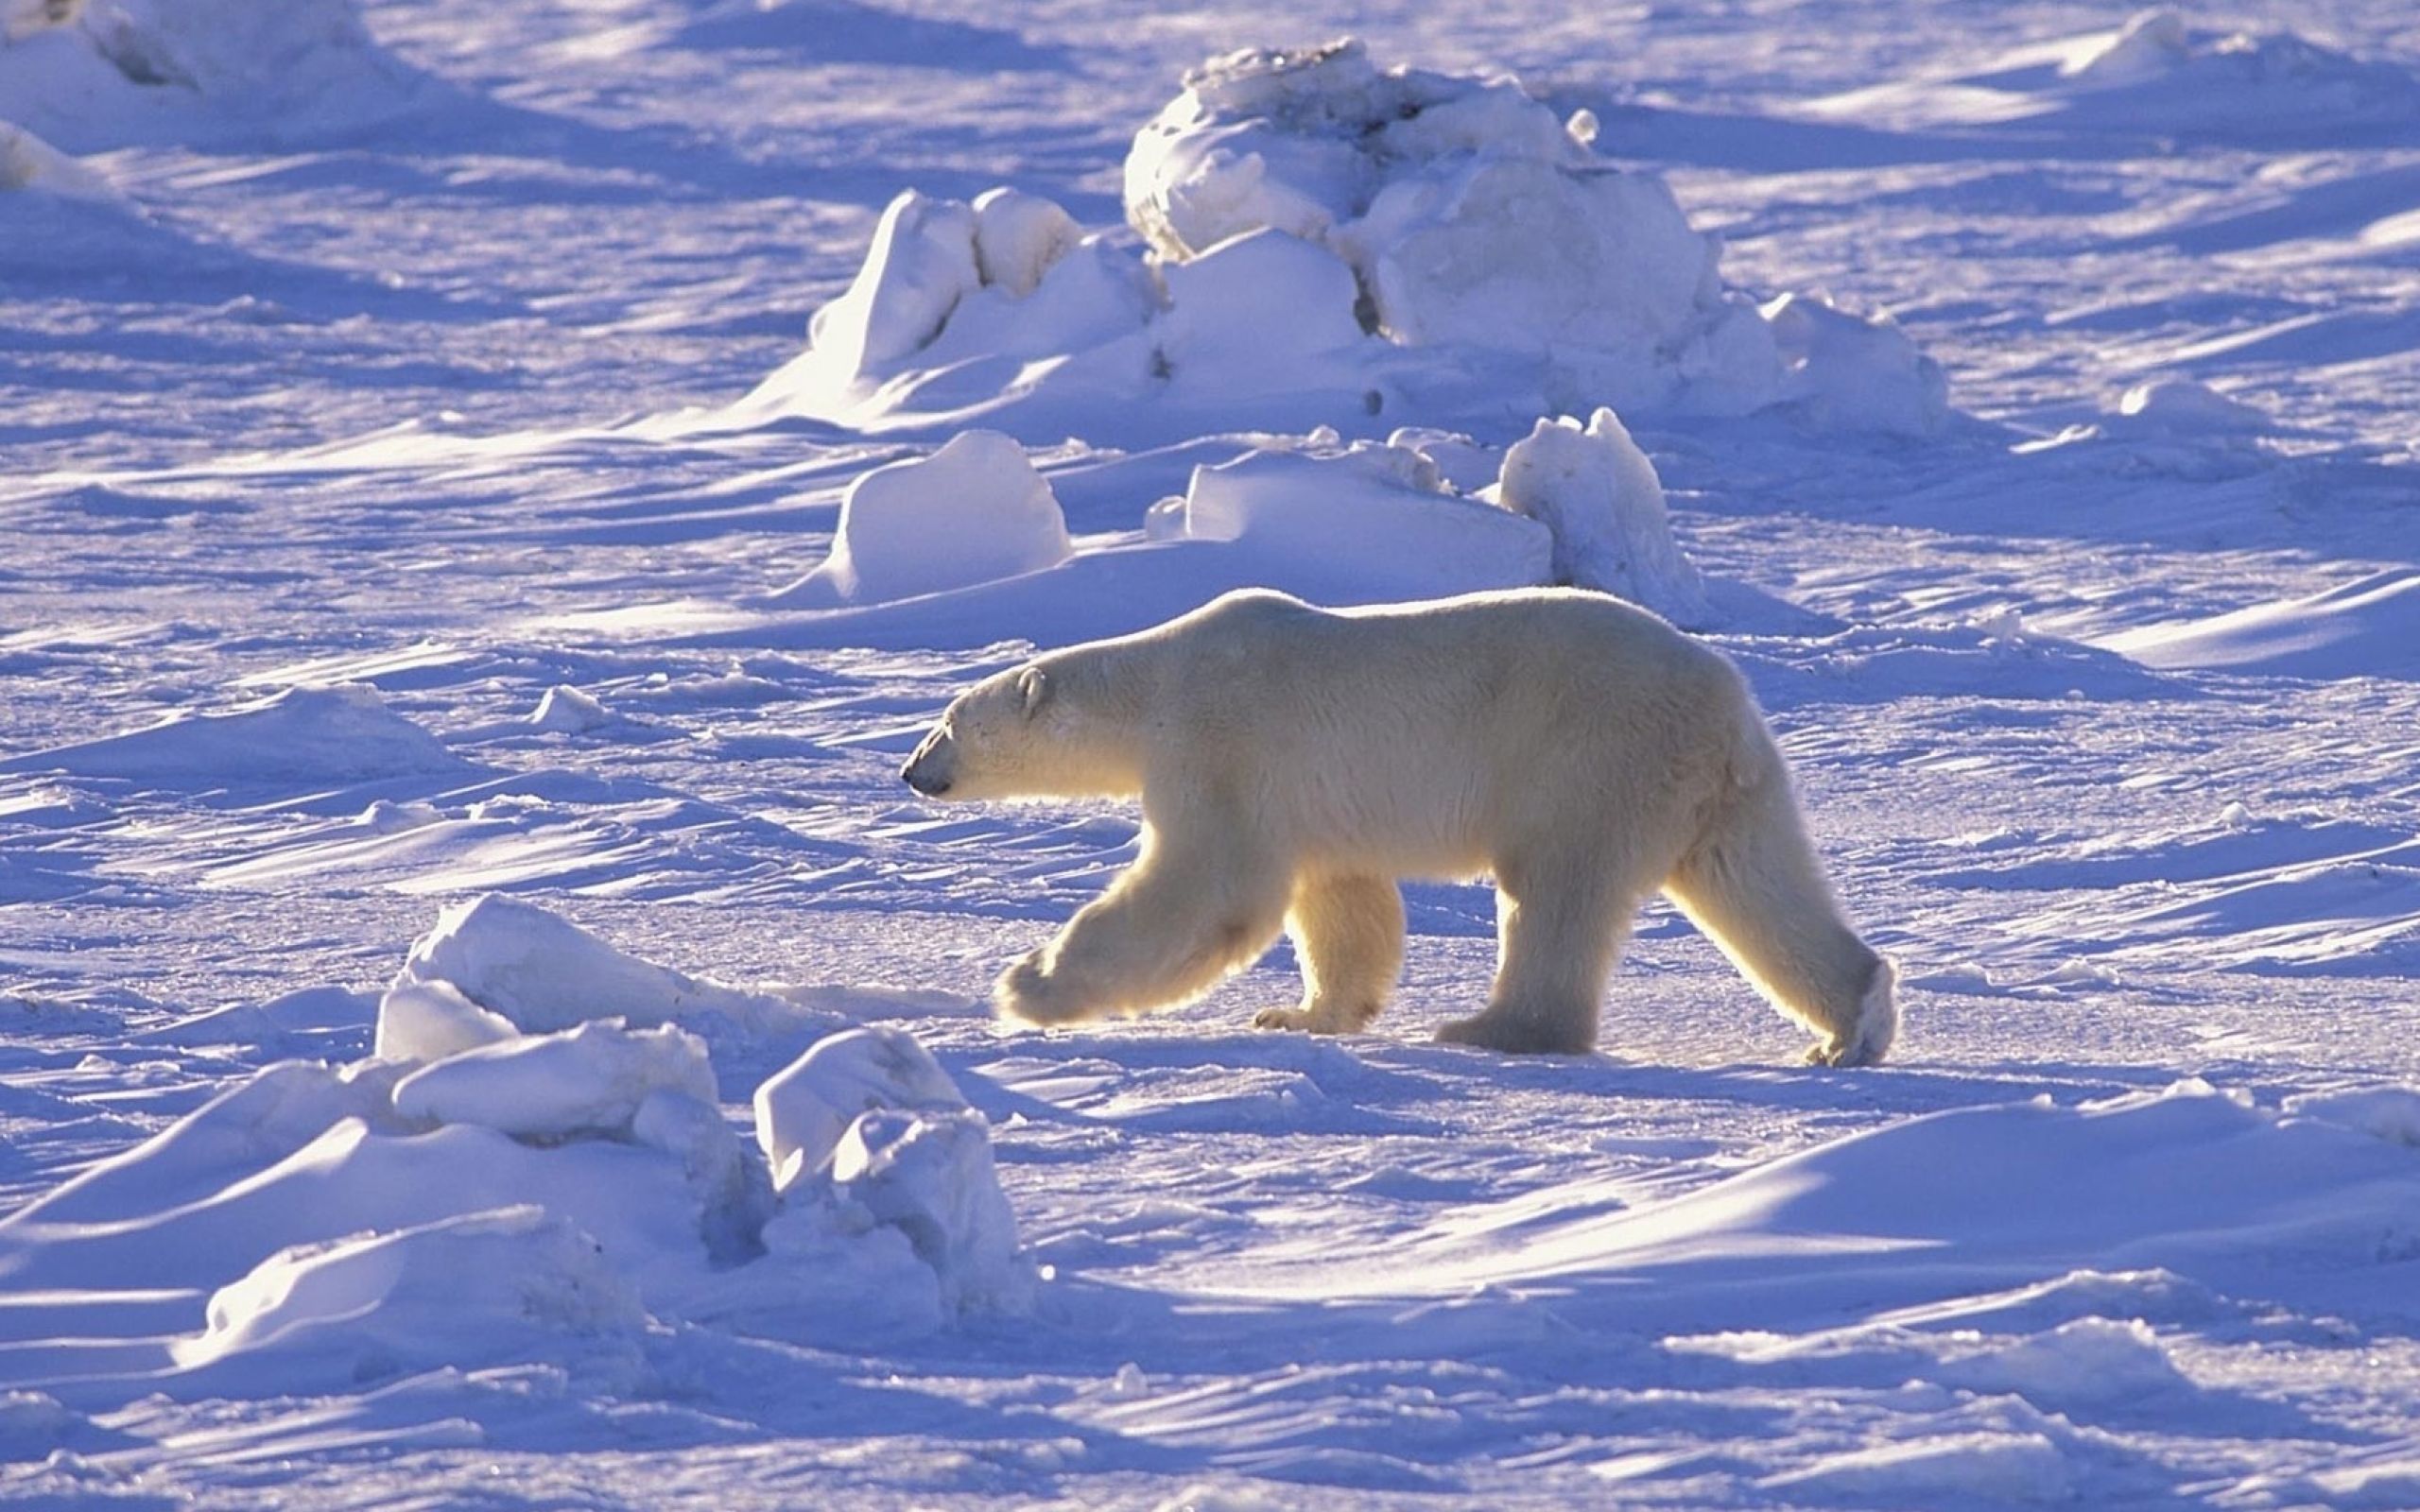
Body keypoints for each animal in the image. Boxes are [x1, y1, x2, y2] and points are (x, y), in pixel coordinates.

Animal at [900, 588, 1897, 1059]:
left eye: (948, 722)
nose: (911, 772)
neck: (1158, 683)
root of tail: (1725, 702)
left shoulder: (1222, 746)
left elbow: (1210, 888)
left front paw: (1027, 985)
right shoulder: (1310, 801)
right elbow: (1344, 903)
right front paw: (1301, 1013)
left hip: (1589, 756)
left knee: (1556, 892)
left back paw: (1492, 1028)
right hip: (1722, 788)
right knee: (1759, 885)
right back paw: (1851, 1024)